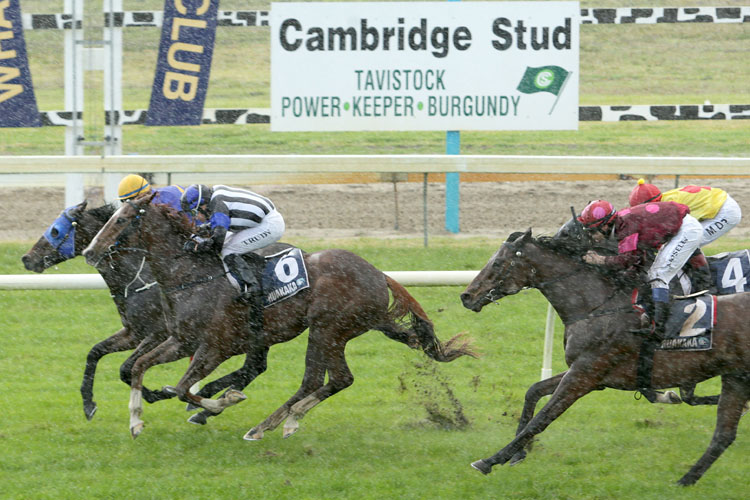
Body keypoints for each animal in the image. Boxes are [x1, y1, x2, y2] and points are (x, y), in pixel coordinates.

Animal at [82, 193, 476, 440]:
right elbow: (138, 367)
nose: (90, 251)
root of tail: (379, 275)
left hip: (327, 329)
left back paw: (270, 425)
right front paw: (136, 421)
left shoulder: (214, 347)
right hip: (331, 332)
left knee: (322, 379)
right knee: (333, 380)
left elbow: (182, 389)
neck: (190, 275)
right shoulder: (180, 340)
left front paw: (224, 400)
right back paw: (280, 423)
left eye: (122, 219)